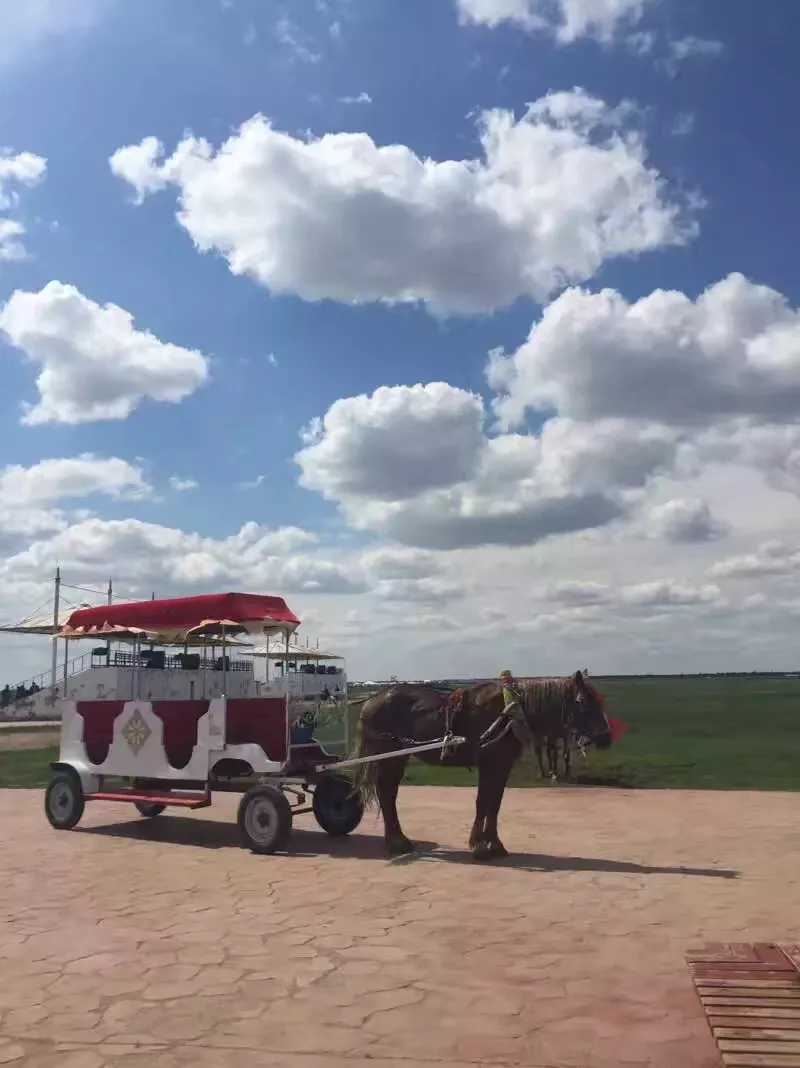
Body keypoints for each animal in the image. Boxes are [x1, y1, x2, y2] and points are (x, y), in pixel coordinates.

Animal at [350, 671, 612, 860]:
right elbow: (482, 803)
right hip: (390, 755)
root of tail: (372, 700)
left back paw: (399, 841)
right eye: (582, 702)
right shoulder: (488, 763)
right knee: (387, 794)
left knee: (389, 793)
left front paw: (494, 844)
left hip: (397, 757)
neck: (509, 712)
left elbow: (494, 804)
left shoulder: (502, 766)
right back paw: (396, 843)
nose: (606, 737)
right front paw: (478, 845)